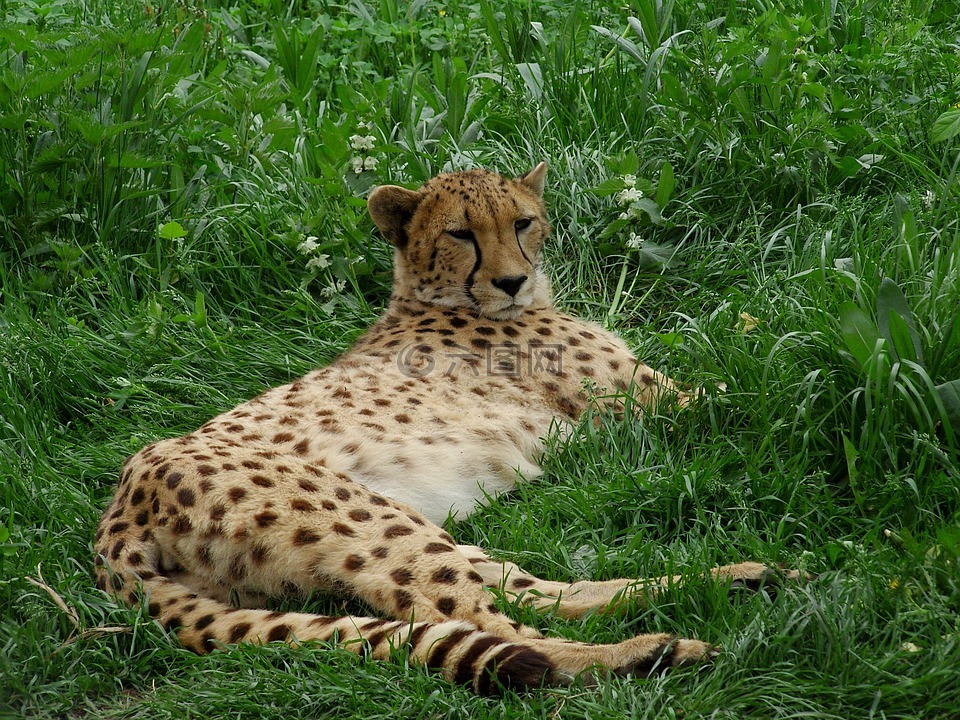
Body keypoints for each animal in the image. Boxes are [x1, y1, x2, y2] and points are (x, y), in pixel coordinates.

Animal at [94, 163, 792, 692]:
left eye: (522, 222)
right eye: (461, 233)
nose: (511, 280)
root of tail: (120, 506)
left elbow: (740, 352)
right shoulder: (653, 404)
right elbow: (747, 381)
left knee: (525, 591)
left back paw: (732, 580)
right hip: (371, 521)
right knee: (495, 621)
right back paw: (651, 651)